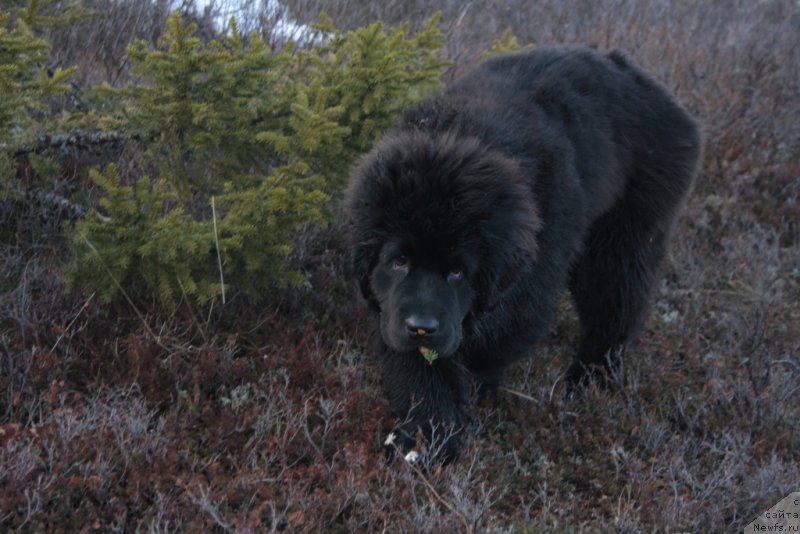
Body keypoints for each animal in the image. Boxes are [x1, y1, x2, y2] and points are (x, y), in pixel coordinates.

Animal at [344, 45, 700, 460]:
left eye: (458, 271)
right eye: (399, 261)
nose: (422, 327)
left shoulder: (531, 276)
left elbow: (497, 337)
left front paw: (460, 401)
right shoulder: (392, 310)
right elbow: (419, 369)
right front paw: (424, 437)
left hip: (624, 234)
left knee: (614, 304)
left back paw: (590, 378)